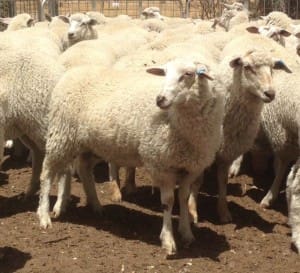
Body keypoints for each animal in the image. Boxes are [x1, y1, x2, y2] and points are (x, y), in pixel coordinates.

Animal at [36, 58, 225, 255]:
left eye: (188, 74)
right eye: (164, 73)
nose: (160, 99)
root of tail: (73, 71)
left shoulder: (190, 168)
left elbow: (183, 198)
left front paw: (186, 232)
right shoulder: (161, 165)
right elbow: (168, 201)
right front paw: (168, 240)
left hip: (91, 144)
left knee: (84, 168)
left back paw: (95, 205)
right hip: (62, 135)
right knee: (47, 173)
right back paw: (44, 216)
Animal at [189, 39, 292, 223]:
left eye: (272, 68)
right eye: (247, 67)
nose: (270, 93)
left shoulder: (228, 150)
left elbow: (222, 180)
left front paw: (223, 211)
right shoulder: (202, 147)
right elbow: (197, 180)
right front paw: (192, 210)